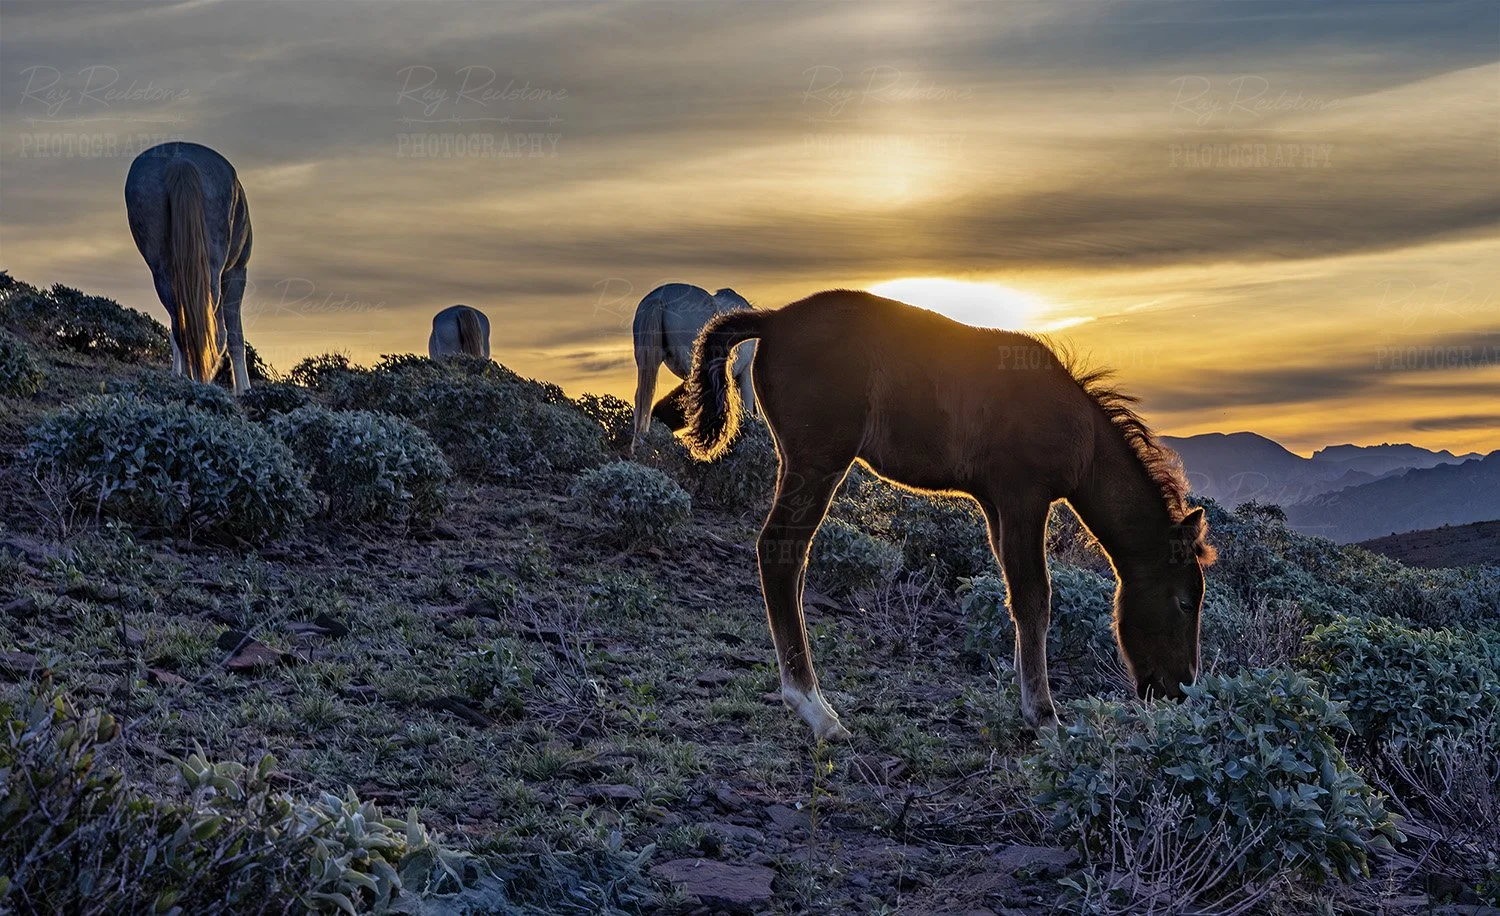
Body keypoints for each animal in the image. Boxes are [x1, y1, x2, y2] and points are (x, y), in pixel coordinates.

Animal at [125, 142, 253, 393]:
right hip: (215, 270)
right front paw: (243, 389)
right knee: (210, 327)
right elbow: (235, 336)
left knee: (180, 326)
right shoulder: (236, 272)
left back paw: (189, 376)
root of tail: (179, 160)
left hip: (162, 271)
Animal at [684, 290, 1214, 741]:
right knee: (781, 553)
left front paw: (1027, 700)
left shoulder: (996, 505)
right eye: (1187, 602)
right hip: (817, 462)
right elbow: (1035, 599)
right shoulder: (1024, 497)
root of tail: (773, 320)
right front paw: (1044, 715)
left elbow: (1014, 597)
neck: (1081, 432)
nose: (1179, 689)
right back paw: (816, 709)